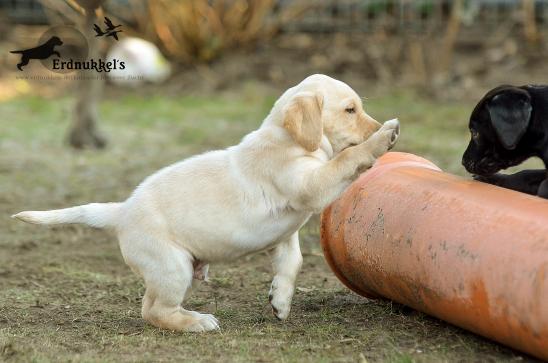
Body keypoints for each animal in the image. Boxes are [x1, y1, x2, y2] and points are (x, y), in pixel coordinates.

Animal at [12, 75, 398, 334]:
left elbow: (293, 262)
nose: (379, 125)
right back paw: (197, 322)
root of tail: (121, 211)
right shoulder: (311, 186)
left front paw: (280, 301)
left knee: (150, 306)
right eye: (350, 110)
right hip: (172, 266)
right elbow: (346, 160)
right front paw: (382, 138)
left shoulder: (285, 233)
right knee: (153, 310)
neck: (289, 140)